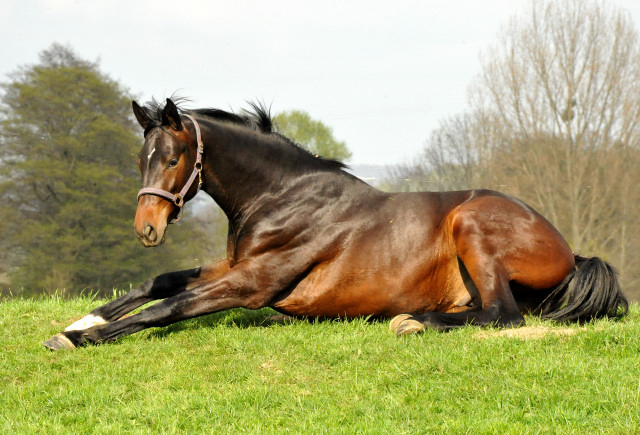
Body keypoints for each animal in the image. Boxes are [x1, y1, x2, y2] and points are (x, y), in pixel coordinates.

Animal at [42, 98, 628, 350]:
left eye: (172, 158)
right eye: (141, 158)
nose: (146, 229)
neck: (282, 196)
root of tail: (570, 252)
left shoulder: (252, 283)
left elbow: (167, 307)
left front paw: (76, 338)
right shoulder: (233, 266)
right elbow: (161, 282)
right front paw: (84, 320)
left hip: (472, 224)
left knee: (503, 316)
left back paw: (414, 323)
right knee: (485, 311)